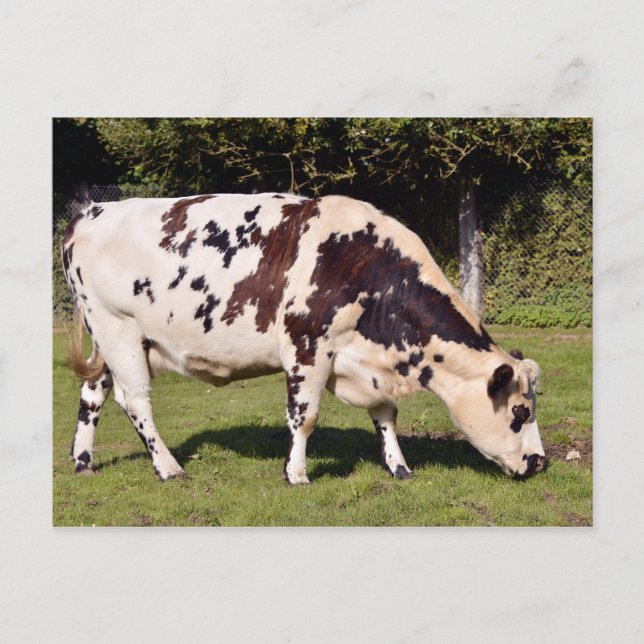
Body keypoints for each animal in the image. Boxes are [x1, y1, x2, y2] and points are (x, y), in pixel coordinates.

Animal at [62, 193, 546, 484]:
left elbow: (386, 415)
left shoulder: (367, 363)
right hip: (118, 328)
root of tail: (90, 211)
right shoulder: (308, 345)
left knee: (92, 393)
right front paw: (296, 473)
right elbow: (304, 416)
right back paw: (168, 466)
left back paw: (84, 462)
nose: (540, 461)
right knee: (135, 400)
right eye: (519, 412)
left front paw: (399, 467)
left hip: (107, 340)